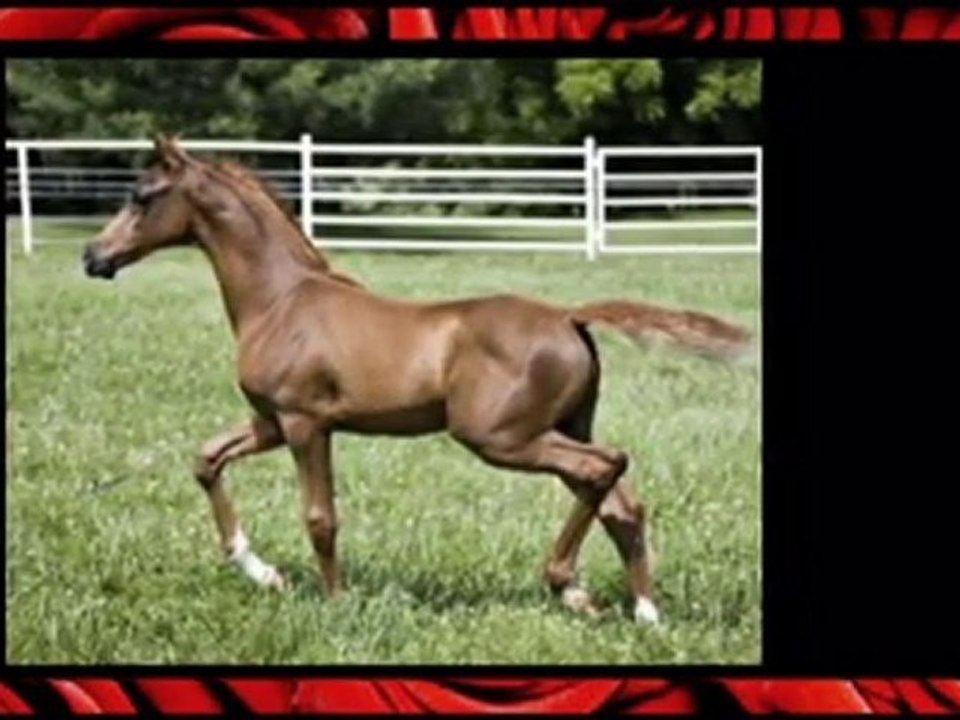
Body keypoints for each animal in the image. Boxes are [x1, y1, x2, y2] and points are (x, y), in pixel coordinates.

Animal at [82, 135, 752, 624]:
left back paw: (566, 584)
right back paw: (641, 611)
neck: (280, 300)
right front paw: (262, 572)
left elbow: (320, 516)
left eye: (142, 196)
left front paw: (334, 603)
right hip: (561, 426)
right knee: (620, 500)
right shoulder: (269, 421)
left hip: (500, 438)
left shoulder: (304, 422)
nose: (93, 257)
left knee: (605, 466)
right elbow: (207, 459)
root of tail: (569, 316)